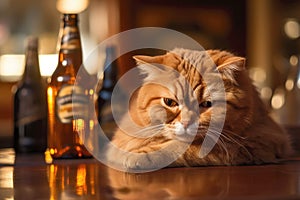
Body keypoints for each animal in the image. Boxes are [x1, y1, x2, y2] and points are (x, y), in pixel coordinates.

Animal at [105, 47, 290, 171]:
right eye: (169, 102)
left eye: (207, 104)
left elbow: (183, 148)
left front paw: (142, 155)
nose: (186, 123)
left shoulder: (257, 142)